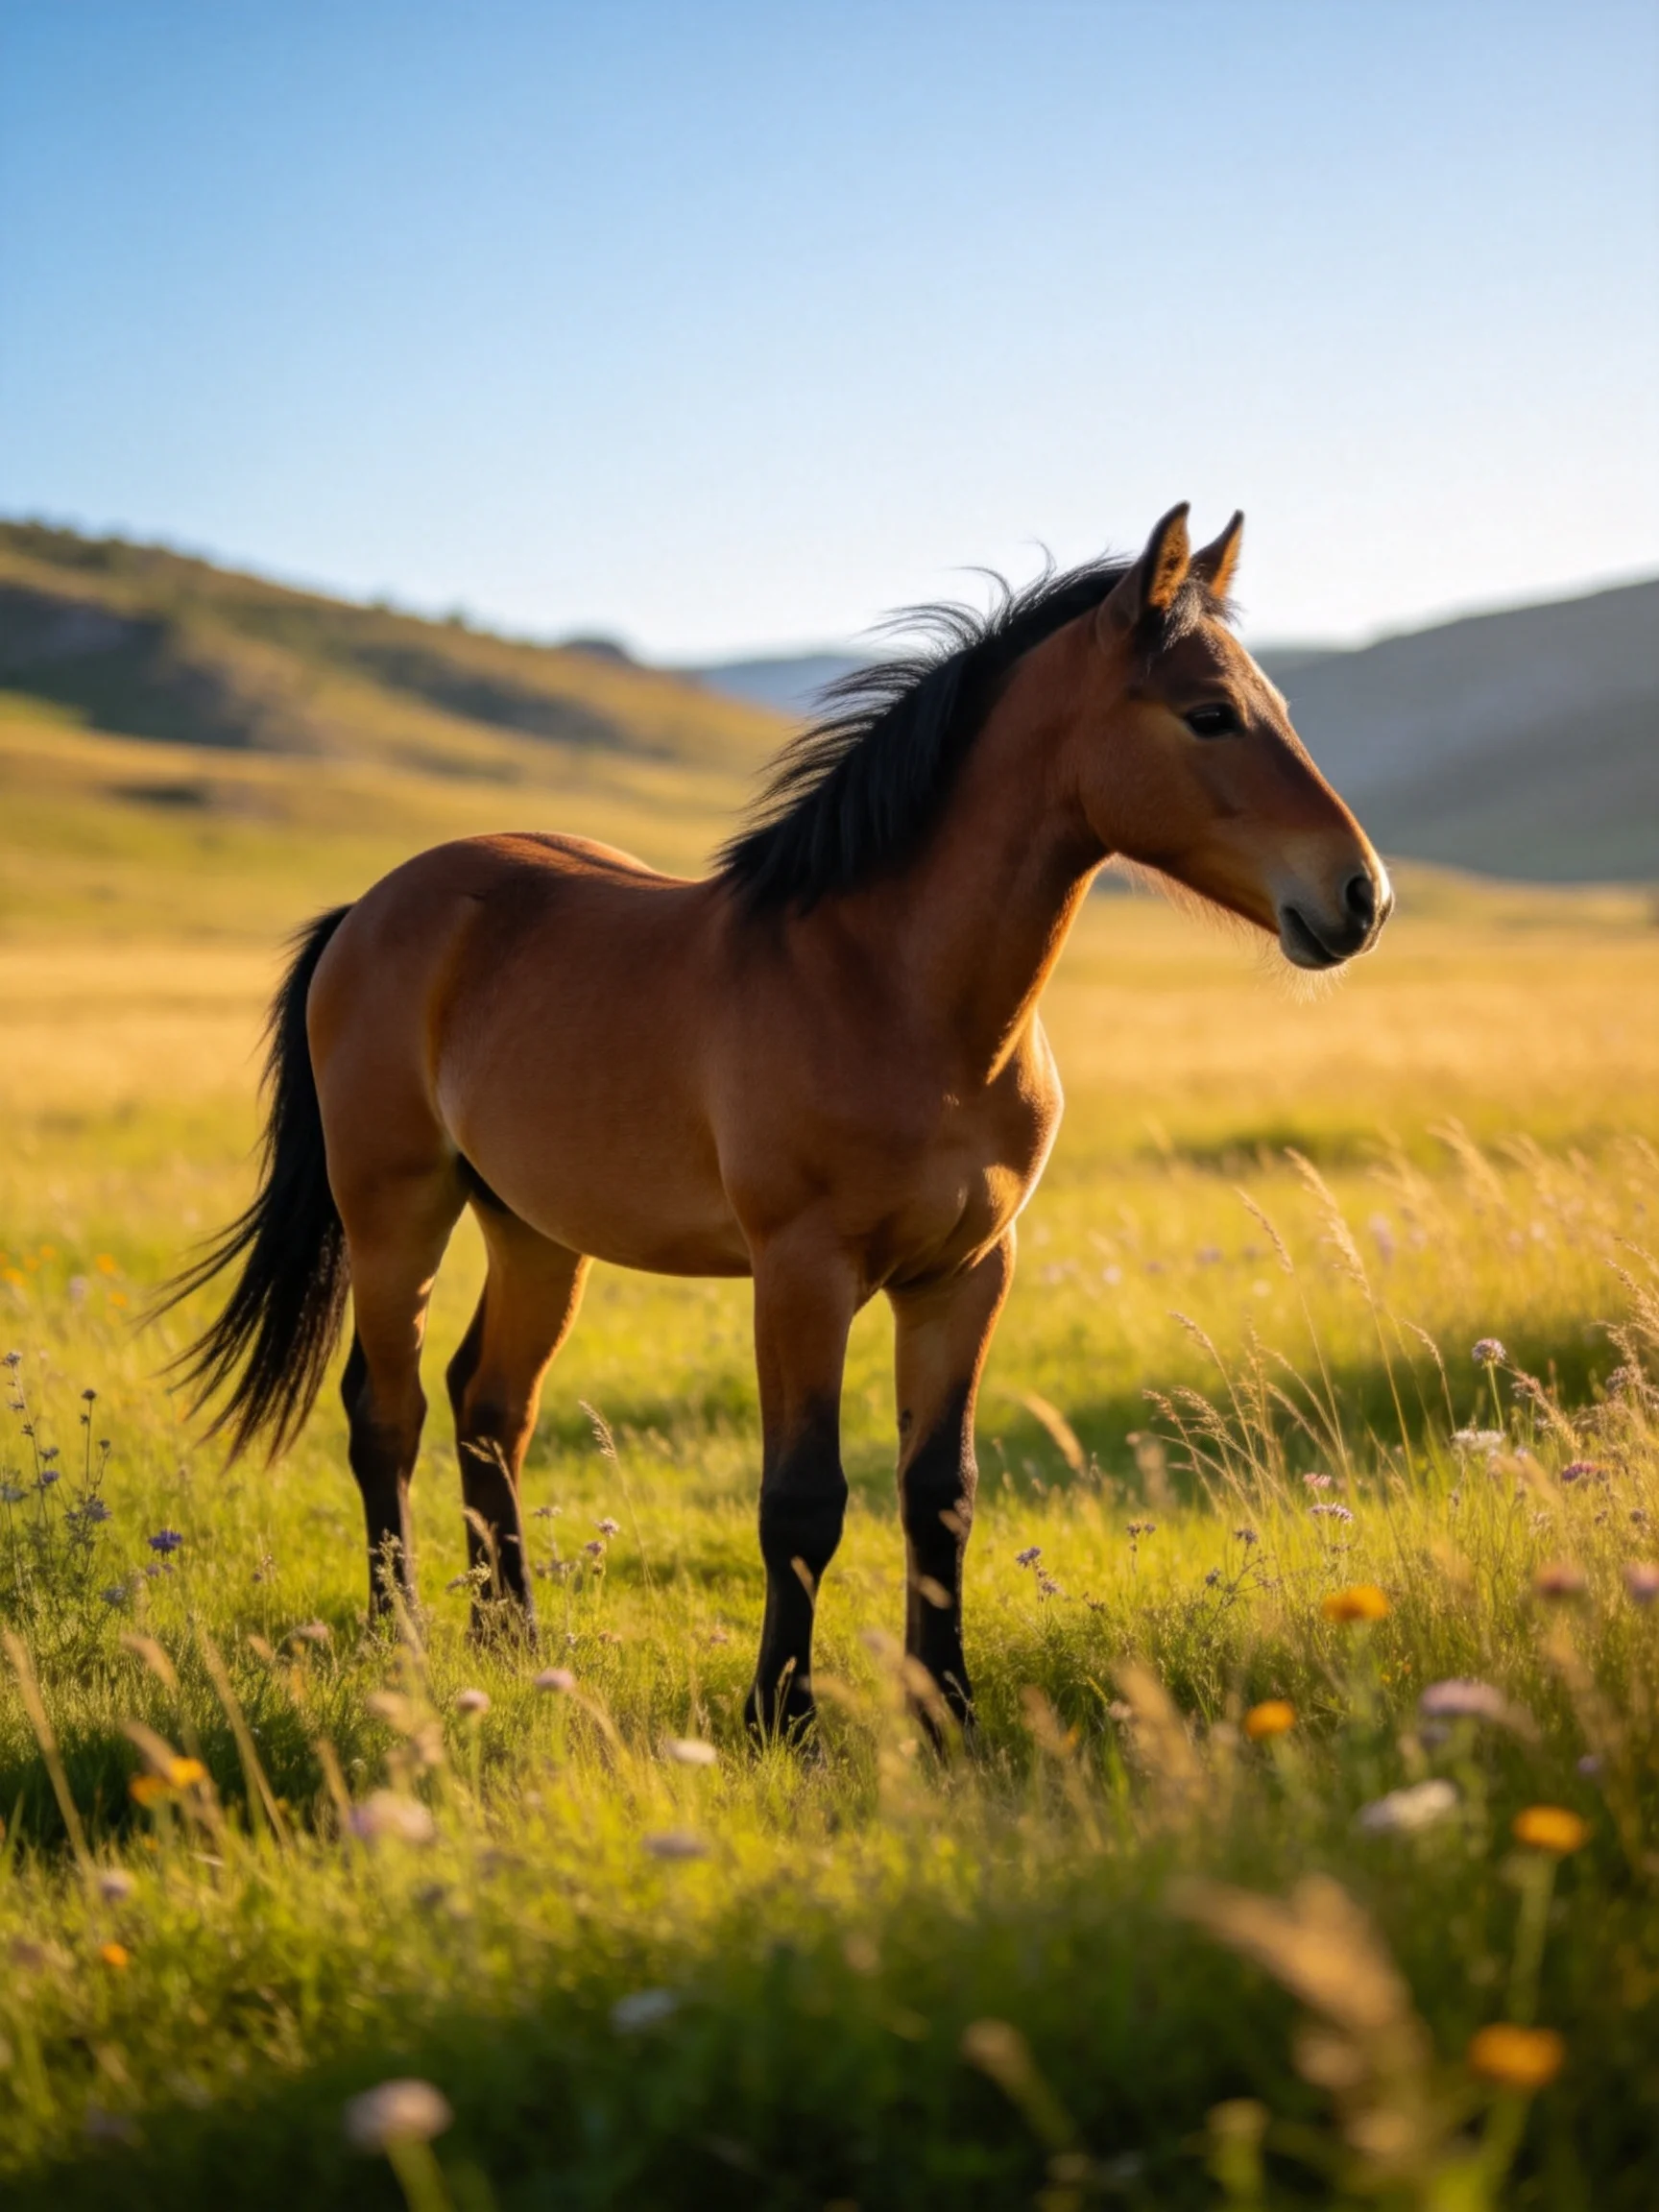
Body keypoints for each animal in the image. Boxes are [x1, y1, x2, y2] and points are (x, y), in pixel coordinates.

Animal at [168, 504, 1391, 1739]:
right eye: (1209, 715)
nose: (1361, 897)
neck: (892, 991)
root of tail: (370, 909)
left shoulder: (965, 1275)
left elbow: (940, 1497)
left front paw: (947, 1713)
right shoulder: (802, 1272)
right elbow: (802, 1501)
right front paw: (779, 1716)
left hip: (533, 1231)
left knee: (489, 1408)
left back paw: (512, 1644)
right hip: (395, 1213)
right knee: (389, 1409)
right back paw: (403, 1642)